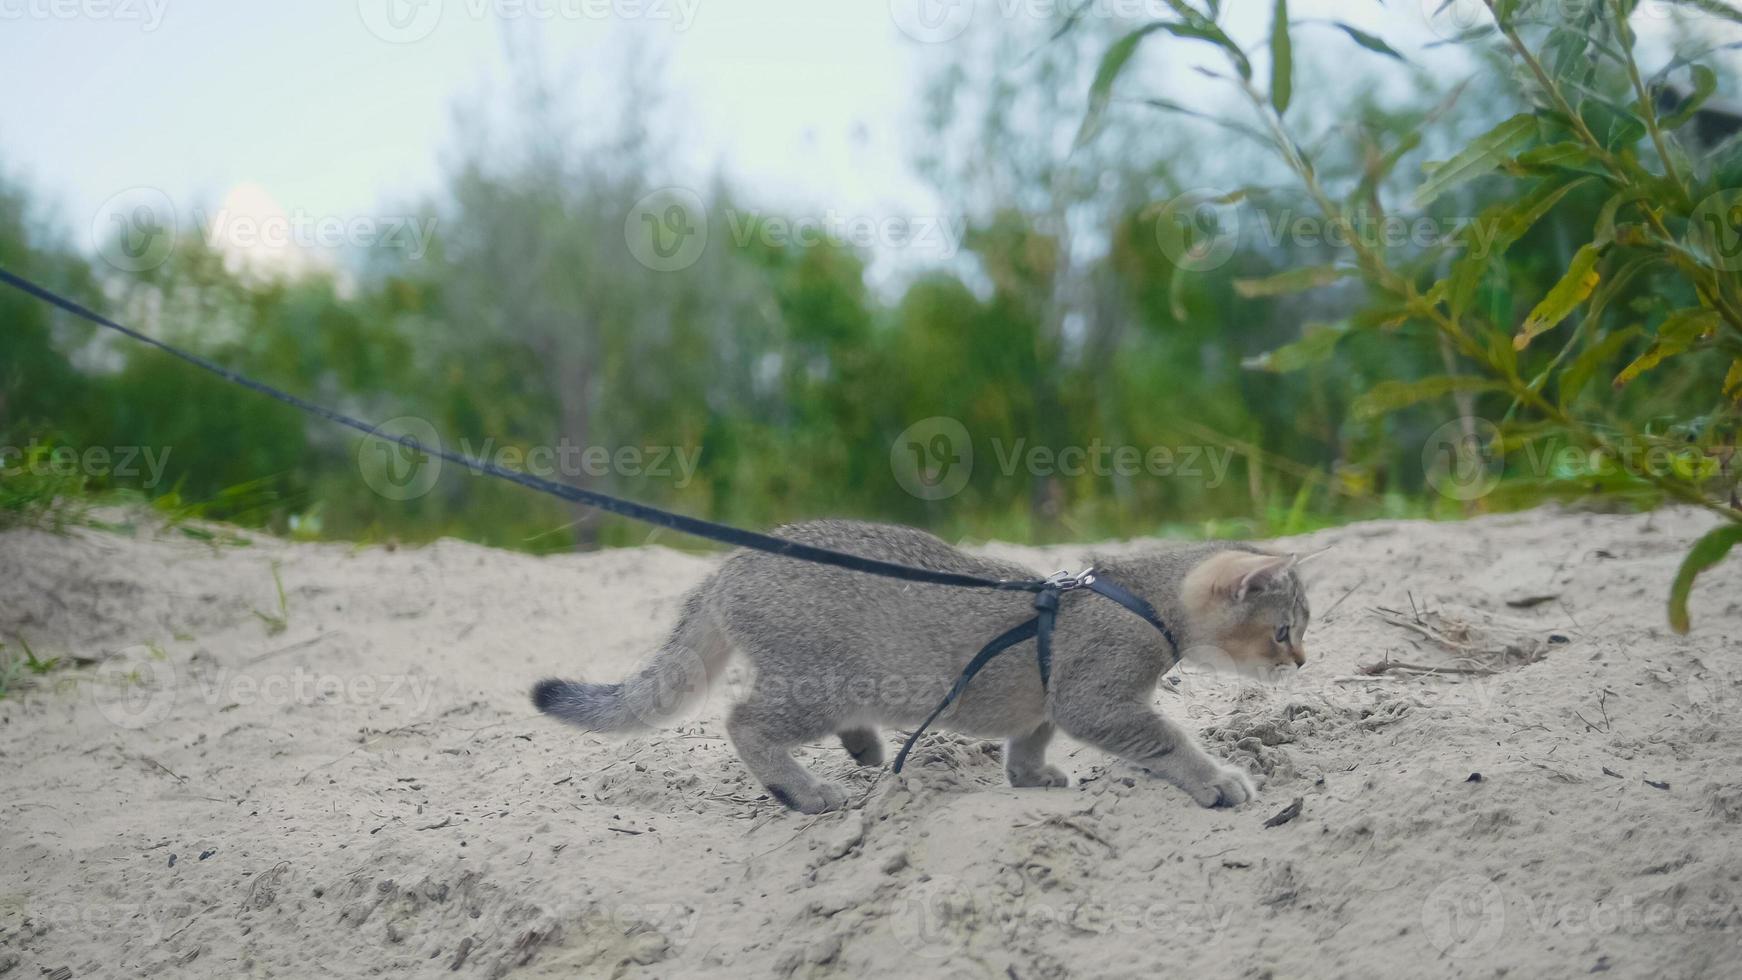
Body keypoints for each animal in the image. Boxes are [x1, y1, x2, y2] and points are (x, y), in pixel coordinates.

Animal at [529, 522, 1309, 814]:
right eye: (1282, 632)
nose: (1303, 660)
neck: (1138, 595)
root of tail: (730, 566)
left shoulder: (1049, 700)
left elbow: (1030, 735)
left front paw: (1030, 776)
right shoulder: (1099, 697)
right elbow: (1167, 738)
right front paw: (1215, 780)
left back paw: (864, 747)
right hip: (822, 682)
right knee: (743, 719)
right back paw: (802, 790)